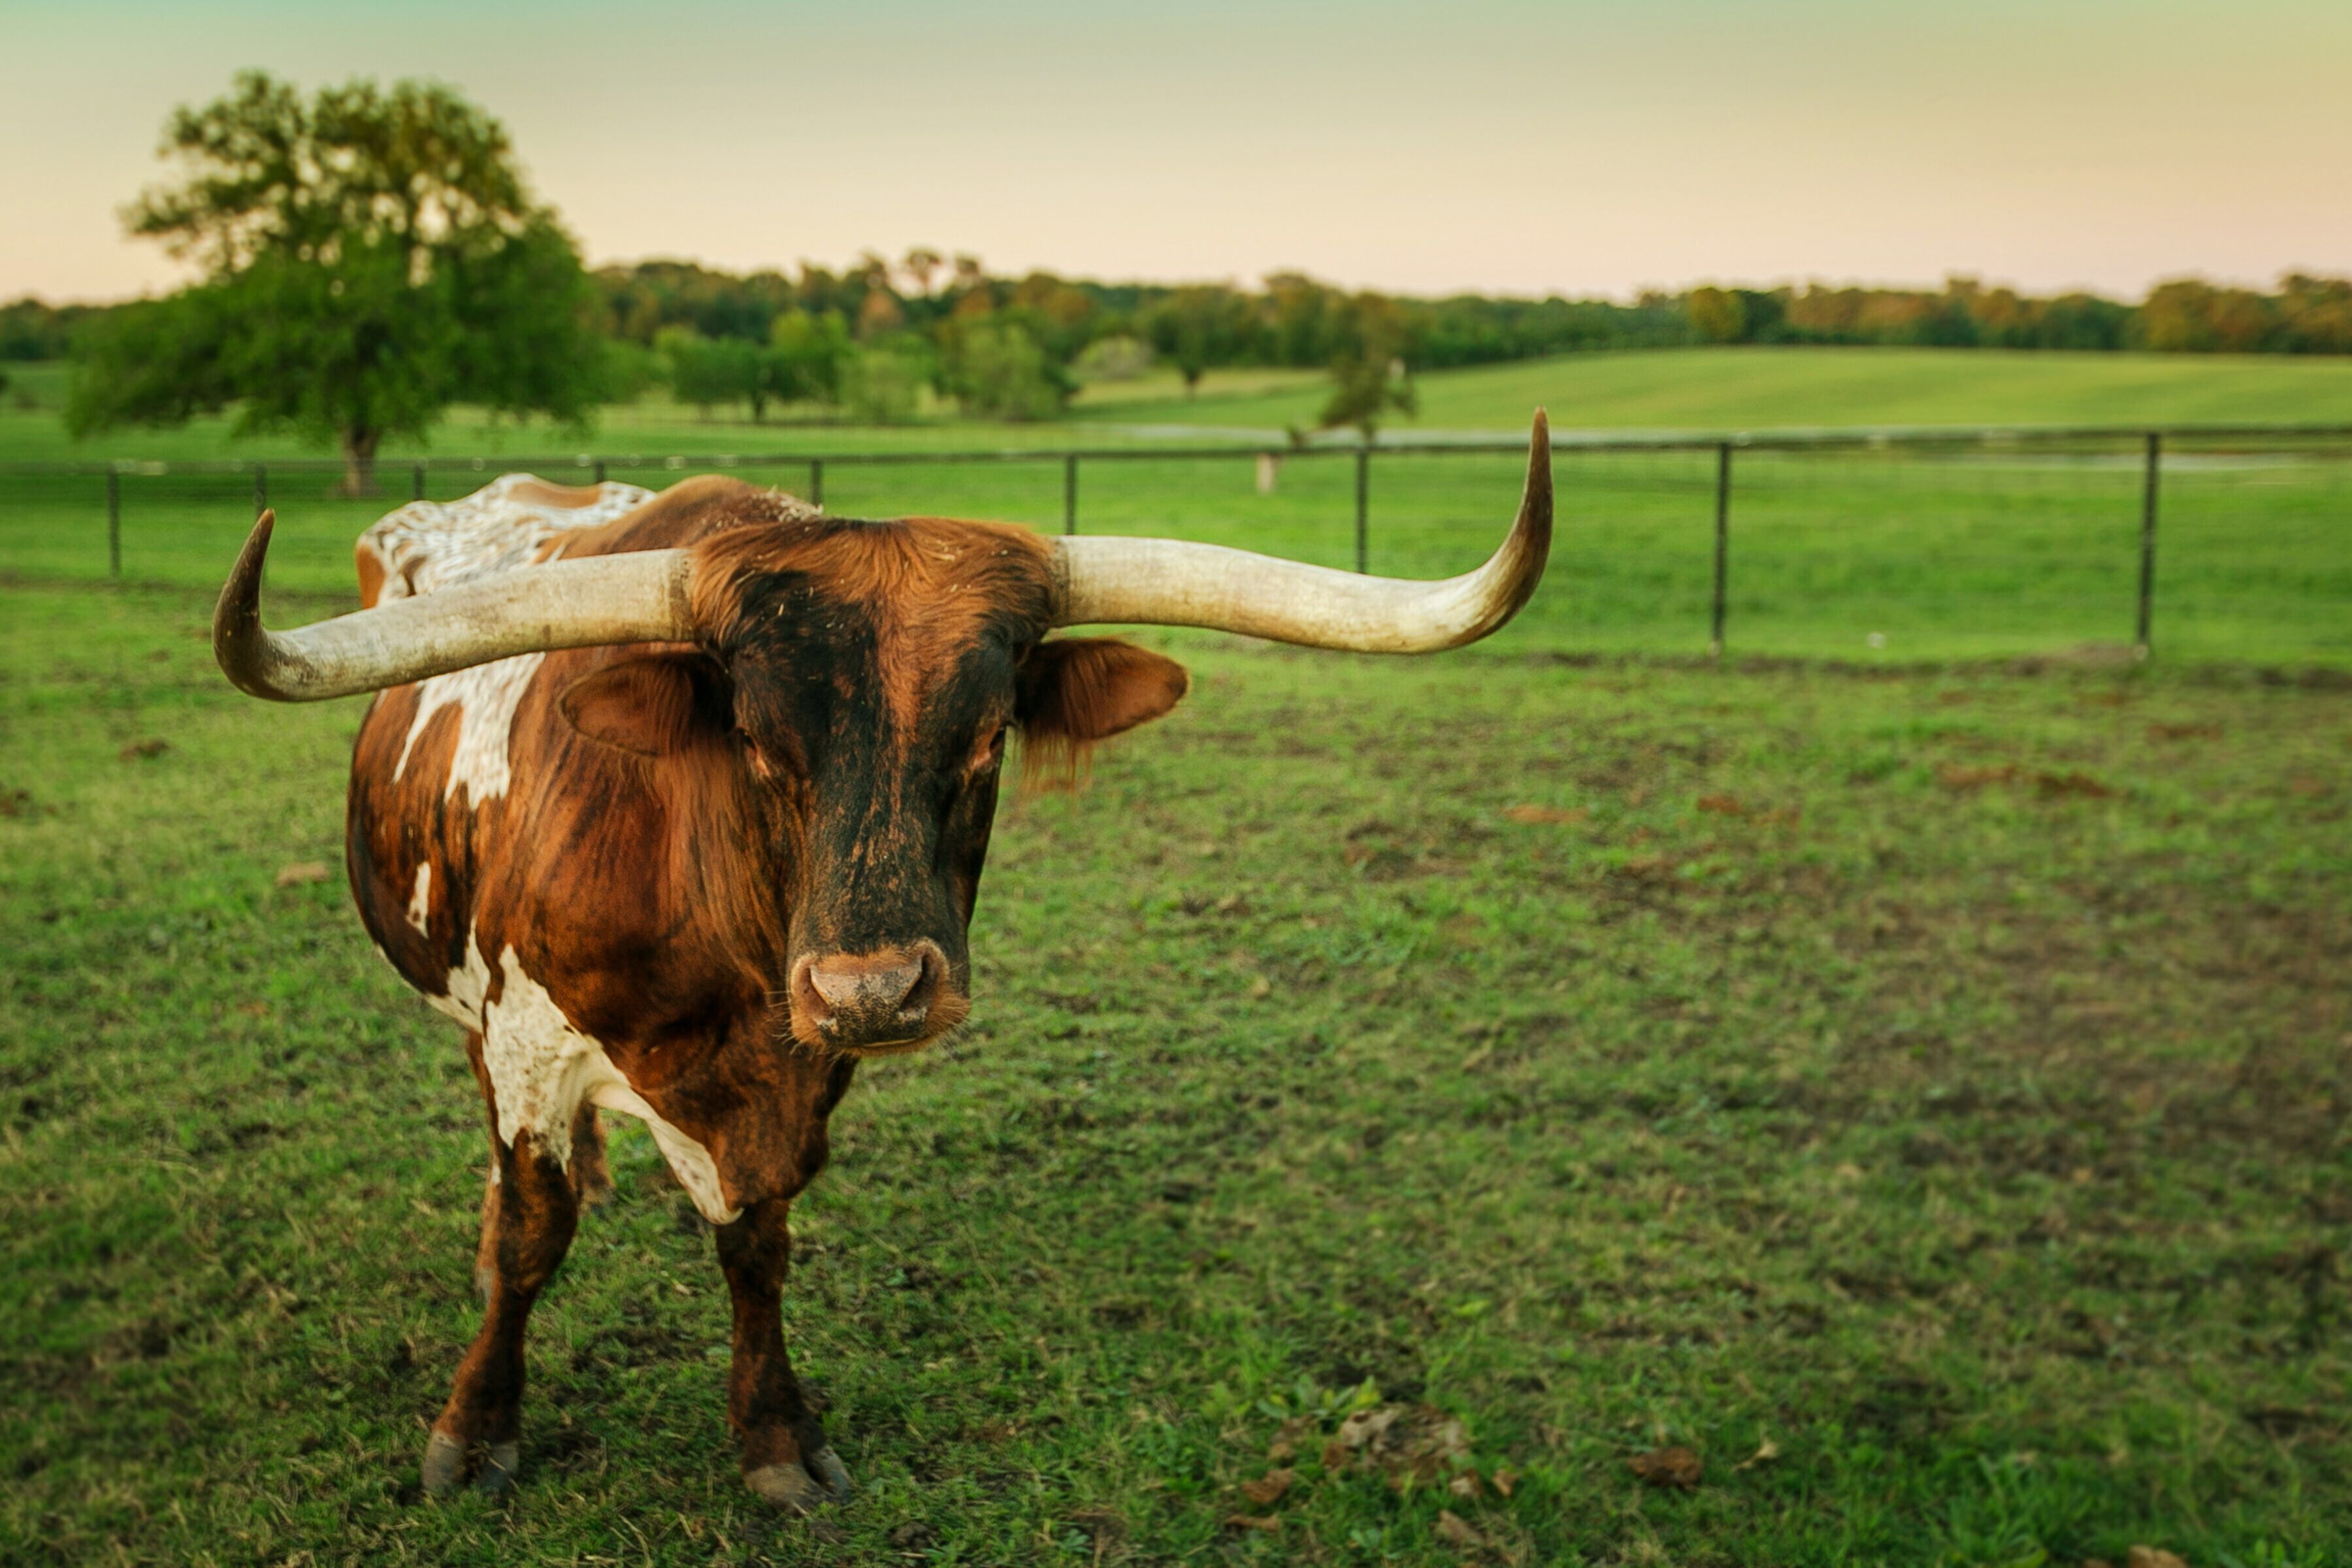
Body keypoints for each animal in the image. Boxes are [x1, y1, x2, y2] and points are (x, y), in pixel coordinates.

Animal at [209, 416, 1552, 1508]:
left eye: (992, 734)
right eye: (753, 737)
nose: (871, 990)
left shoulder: (802, 1080)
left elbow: (758, 1246)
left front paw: (774, 1442)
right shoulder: (528, 1039)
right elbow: (533, 1237)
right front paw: (477, 1429)